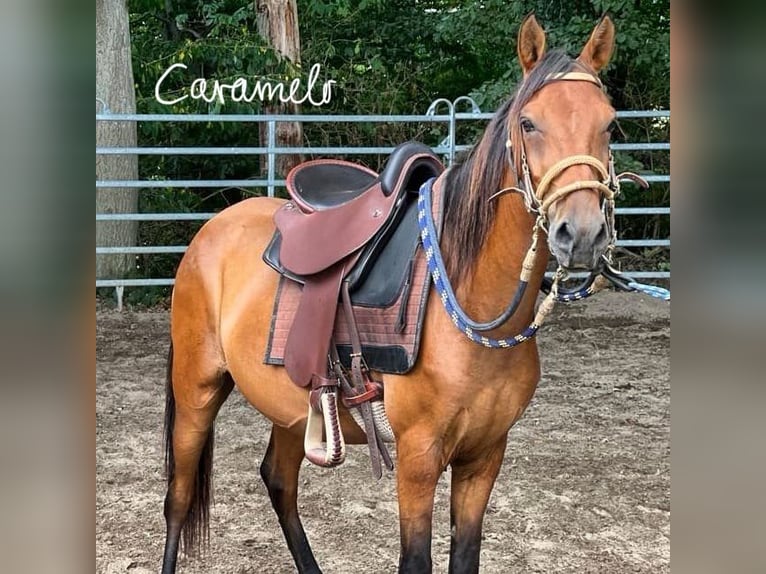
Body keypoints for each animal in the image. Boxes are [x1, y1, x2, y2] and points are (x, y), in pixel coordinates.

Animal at [161, 14, 622, 574]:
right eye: (530, 123)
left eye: (609, 123)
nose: (582, 234)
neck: (467, 302)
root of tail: (211, 230)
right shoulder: (418, 458)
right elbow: (415, 559)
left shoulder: (484, 457)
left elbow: (465, 555)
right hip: (197, 389)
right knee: (179, 496)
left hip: (291, 406)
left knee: (279, 481)